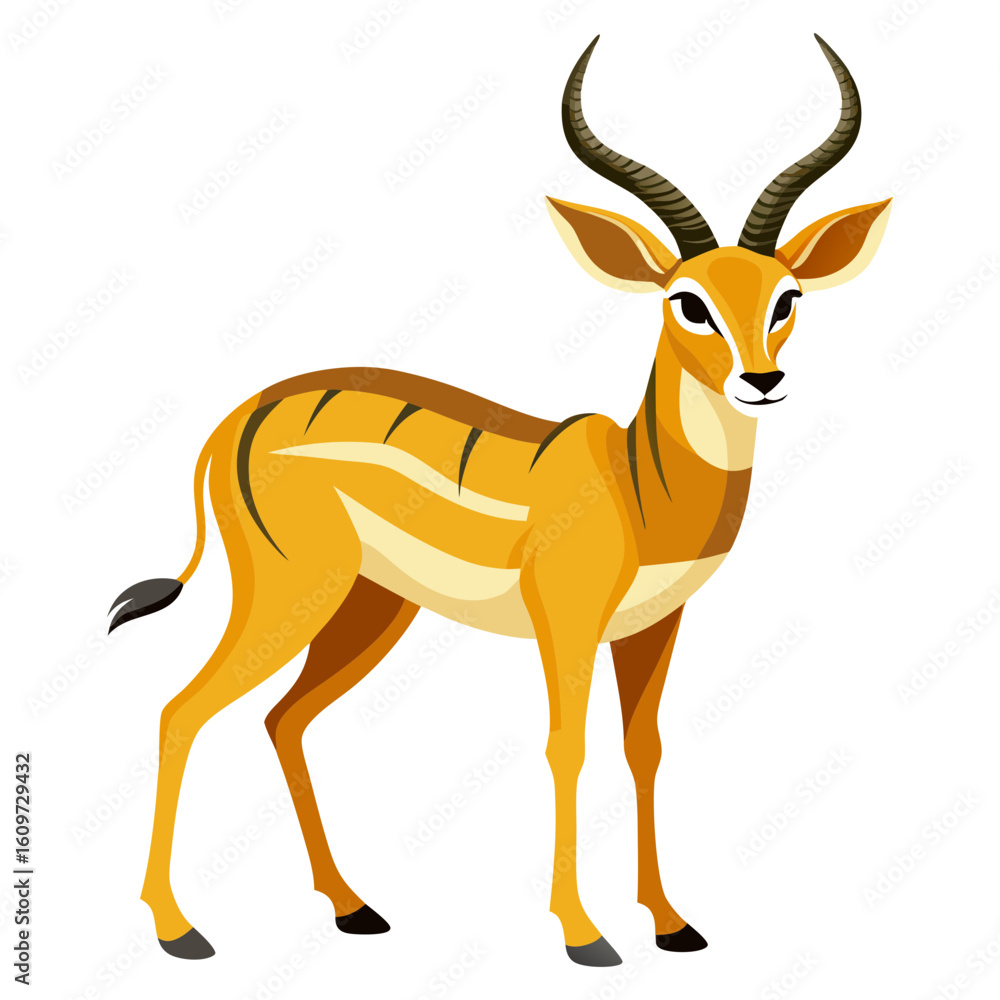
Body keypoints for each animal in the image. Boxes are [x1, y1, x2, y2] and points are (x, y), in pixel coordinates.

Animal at [110, 34, 890, 967]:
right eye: (689, 302)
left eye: (786, 298)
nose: (762, 380)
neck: (637, 483)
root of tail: (234, 419)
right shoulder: (569, 623)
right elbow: (567, 747)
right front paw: (585, 936)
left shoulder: (654, 627)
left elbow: (644, 748)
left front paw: (672, 925)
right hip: (292, 593)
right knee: (180, 710)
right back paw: (178, 929)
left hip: (370, 608)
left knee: (282, 718)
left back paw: (353, 909)